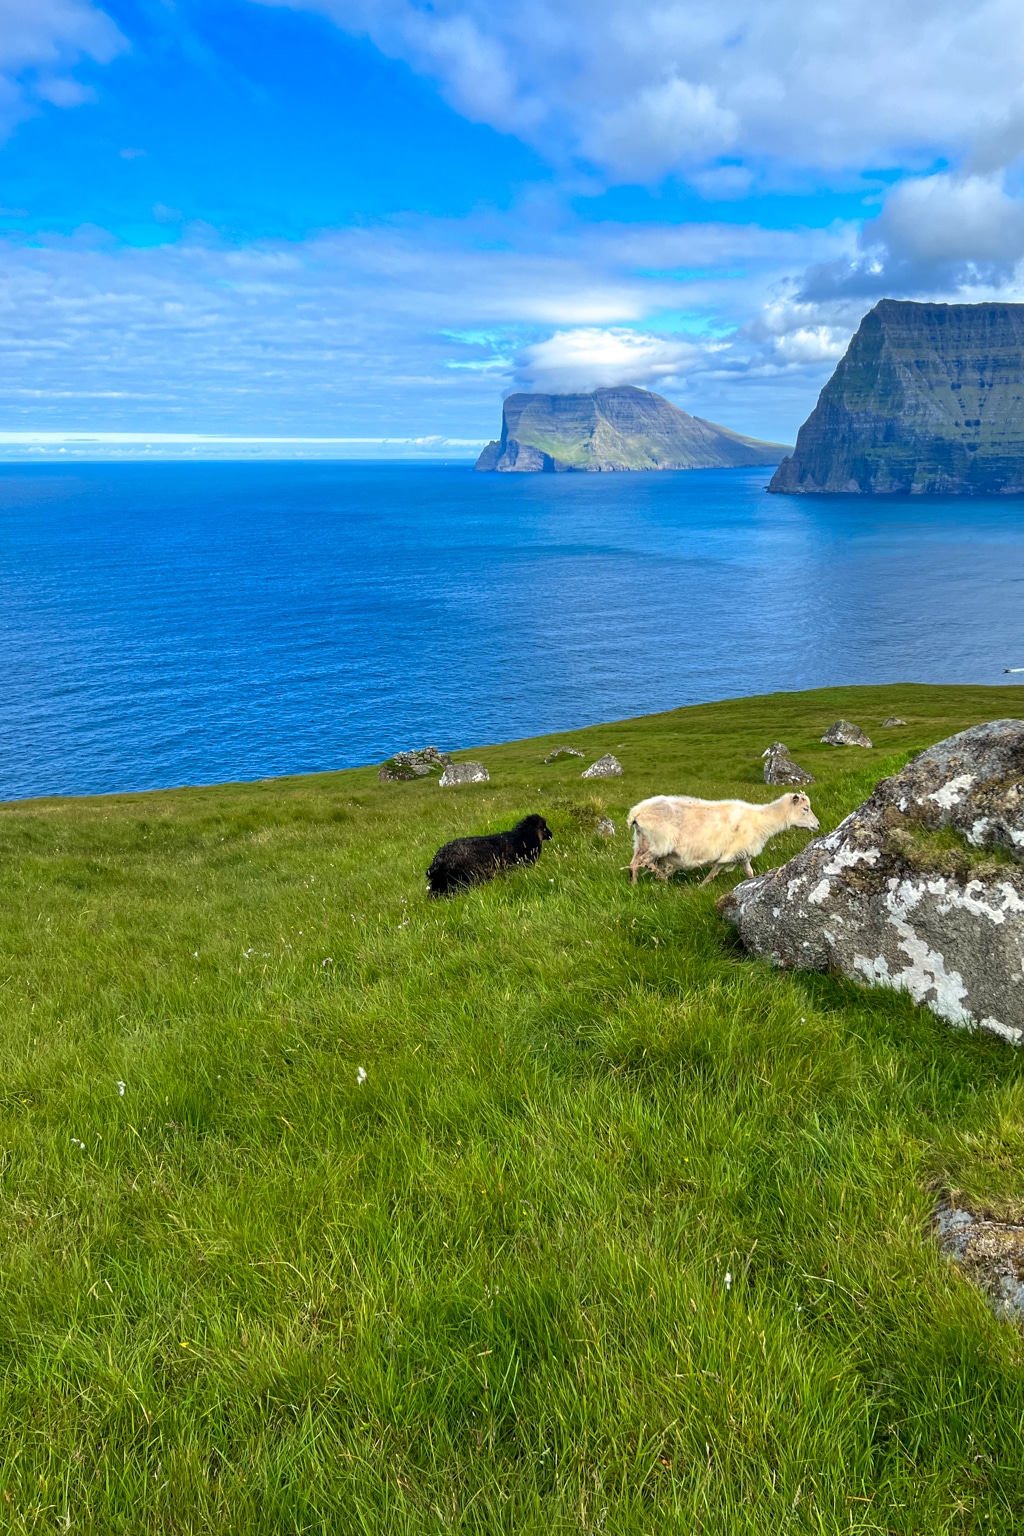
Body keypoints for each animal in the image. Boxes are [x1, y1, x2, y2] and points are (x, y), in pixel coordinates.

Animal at [627, 792, 819, 886]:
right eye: (805, 809)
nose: (817, 825)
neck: (762, 820)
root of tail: (636, 813)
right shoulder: (732, 851)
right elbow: (714, 872)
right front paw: (702, 887)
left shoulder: (742, 853)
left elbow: (749, 873)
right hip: (660, 843)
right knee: (645, 862)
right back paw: (663, 880)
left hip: (641, 841)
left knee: (634, 863)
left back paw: (634, 885)